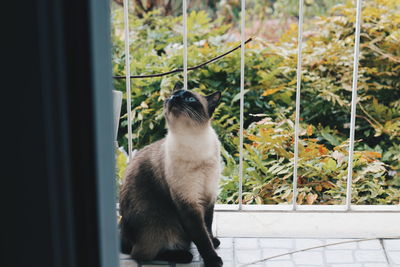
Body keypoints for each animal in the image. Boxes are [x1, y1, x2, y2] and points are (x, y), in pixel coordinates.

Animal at [120, 88, 223, 267]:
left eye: (190, 99)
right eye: (173, 95)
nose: (174, 98)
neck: (194, 141)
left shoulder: (208, 196)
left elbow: (208, 226)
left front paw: (214, 242)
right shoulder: (188, 204)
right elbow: (201, 237)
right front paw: (213, 260)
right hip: (159, 226)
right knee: (141, 254)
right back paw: (183, 256)